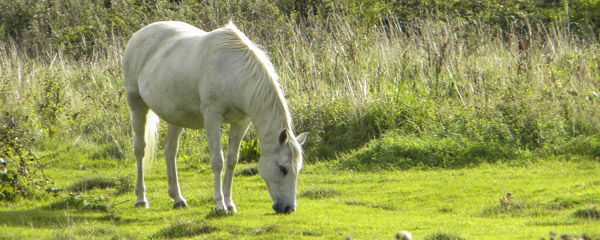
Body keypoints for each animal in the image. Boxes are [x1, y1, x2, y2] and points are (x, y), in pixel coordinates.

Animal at [122, 21, 310, 214]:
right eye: (283, 168)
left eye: (298, 169)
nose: (288, 208)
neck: (233, 73)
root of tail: (138, 35)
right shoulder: (212, 117)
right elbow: (218, 161)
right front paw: (220, 205)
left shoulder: (241, 122)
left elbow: (232, 161)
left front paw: (230, 203)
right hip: (137, 106)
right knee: (140, 149)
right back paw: (141, 199)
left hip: (175, 116)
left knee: (170, 151)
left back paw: (178, 198)